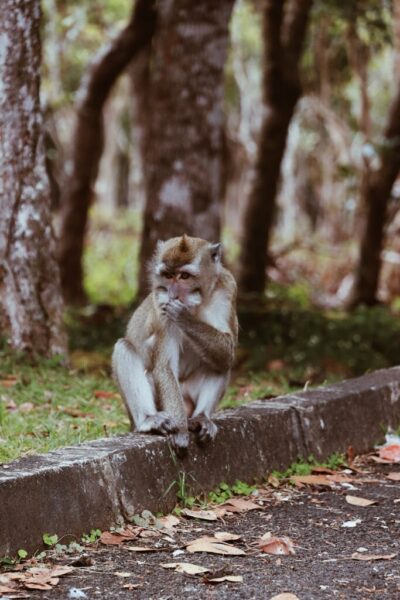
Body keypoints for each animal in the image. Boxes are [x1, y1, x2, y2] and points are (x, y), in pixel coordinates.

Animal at [112, 234, 238, 450]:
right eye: (169, 275)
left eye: (184, 276)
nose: (173, 293)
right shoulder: (161, 304)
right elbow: (164, 366)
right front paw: (179, 431)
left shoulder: (227, 290)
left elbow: (228, 351)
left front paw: (184, 317)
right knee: (124, 348)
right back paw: (150, 420)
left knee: (220, 363)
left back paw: (202, 417)